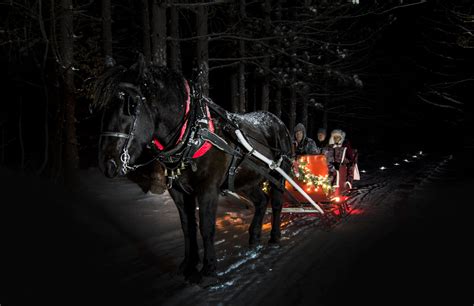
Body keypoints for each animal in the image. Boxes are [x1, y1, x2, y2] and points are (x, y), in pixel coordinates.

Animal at [93, 57, 292, 282]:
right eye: (101, 107)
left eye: (131, 105)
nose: (107, 163)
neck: (193, 132)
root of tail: (278, 122)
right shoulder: (178, 191)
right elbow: (188, 227)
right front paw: (188, 265)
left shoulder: (208, 189)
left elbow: (206, 227)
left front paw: (209, 269)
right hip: (246, 181)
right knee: (261, 201)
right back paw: (254, 236)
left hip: (278, 174)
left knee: (276, 203)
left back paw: (274, 237)